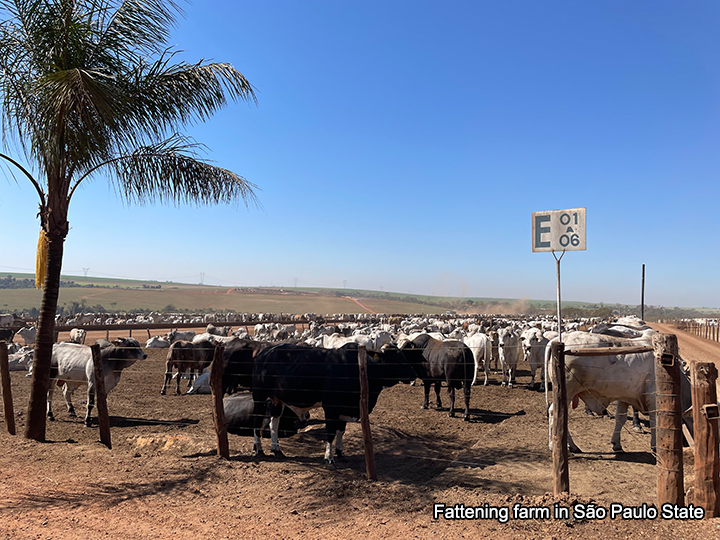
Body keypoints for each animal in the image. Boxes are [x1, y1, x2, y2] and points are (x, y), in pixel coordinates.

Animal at [252, 342, 414, 464]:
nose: (414, 374)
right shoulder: (331, 407)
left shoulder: (344, 409)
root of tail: (265, 352)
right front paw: (329, 458)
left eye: (403, 355)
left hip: (277, 399)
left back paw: (277, 449)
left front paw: (340, 453)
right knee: (256, 420)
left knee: (274, 423)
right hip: (259, 395)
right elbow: (330, 432)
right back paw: (258, 449)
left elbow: (341, 431)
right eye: (395, 358)